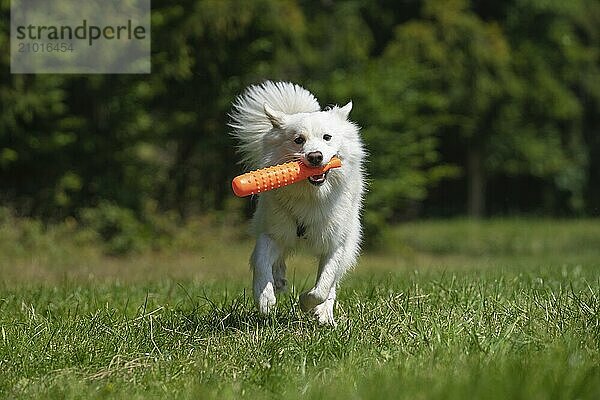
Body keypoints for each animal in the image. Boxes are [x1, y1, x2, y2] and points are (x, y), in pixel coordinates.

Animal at [227, 82, 364, 324]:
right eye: (298, 140)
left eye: (327, 137)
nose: (315, 156)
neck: (311, 195)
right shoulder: (272, 232)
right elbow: (261, 262)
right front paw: (265, 298)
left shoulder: (335, 243)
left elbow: (324, 285)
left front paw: (308, 304)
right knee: (277, 259)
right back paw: (279, 279)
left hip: (350, 241)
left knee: (333, 283)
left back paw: (325, 314)